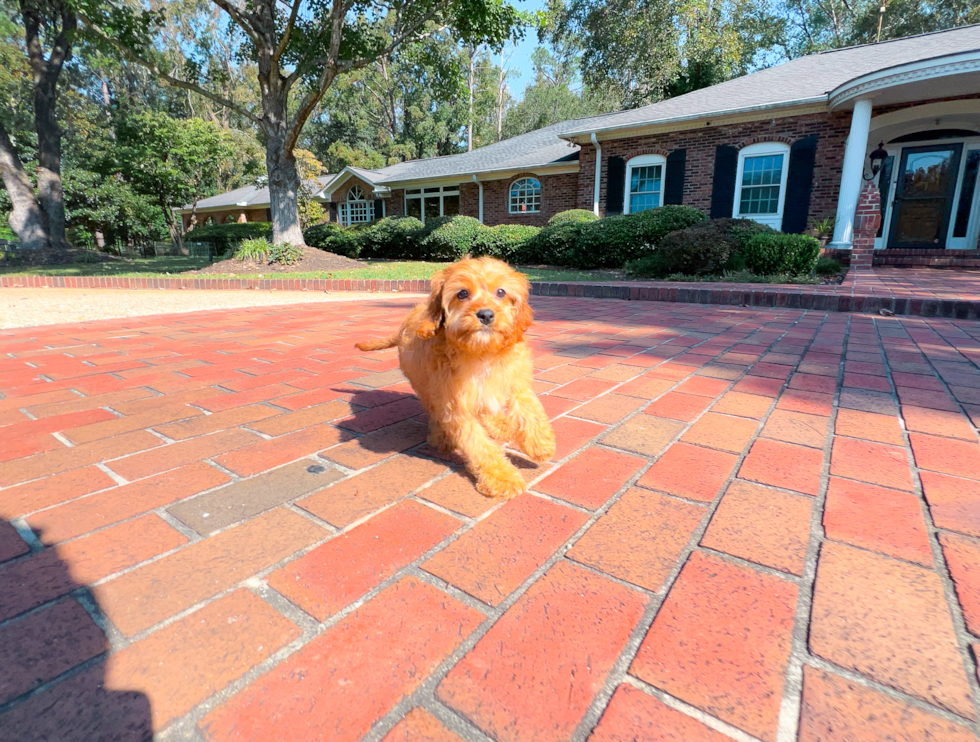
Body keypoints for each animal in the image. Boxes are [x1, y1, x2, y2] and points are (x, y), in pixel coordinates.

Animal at [356, 258, 556, 500]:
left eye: (501, 292)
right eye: (462, 293)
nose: (486, 315)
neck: (482, 353)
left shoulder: (514, 381)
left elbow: (529, 410)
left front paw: (541, 445)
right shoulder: (456, 405)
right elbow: (479, 445)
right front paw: (502, 478)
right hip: (425, 387)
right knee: (433, 410)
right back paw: (440, 436)